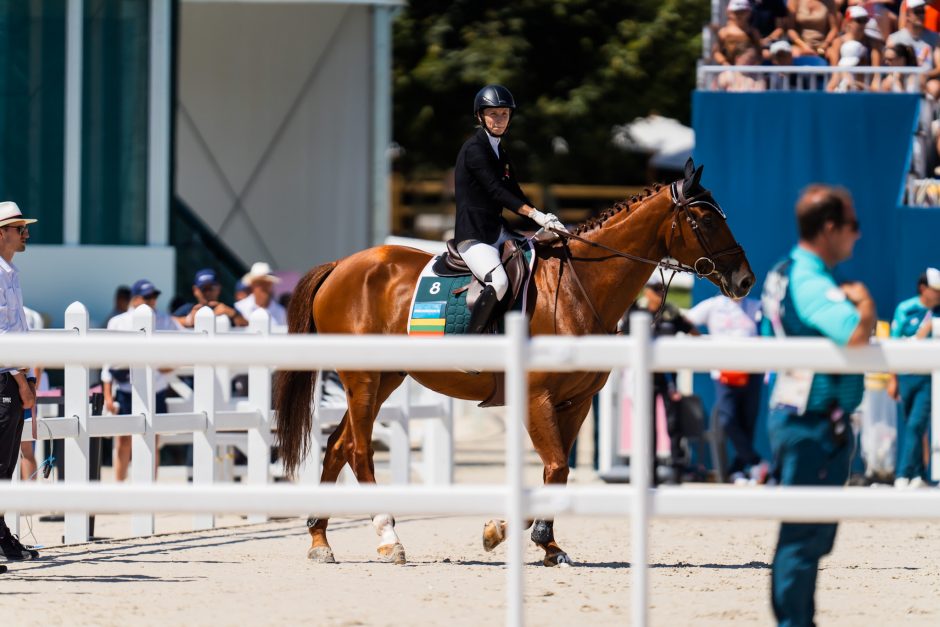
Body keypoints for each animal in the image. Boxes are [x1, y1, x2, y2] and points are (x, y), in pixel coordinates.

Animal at [274, 161, 756, 568]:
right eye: (705, 221)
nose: (744, 281)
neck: (579, 289)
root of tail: (341, 265)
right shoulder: (535, 396)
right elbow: (556, 468)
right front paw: (503, 530)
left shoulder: (576, 402)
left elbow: (555, 472)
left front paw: (548, 543)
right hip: (363, 376)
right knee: (358, 450)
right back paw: (389, 537)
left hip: (384, 378)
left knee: (337, 445)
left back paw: (319, 540)